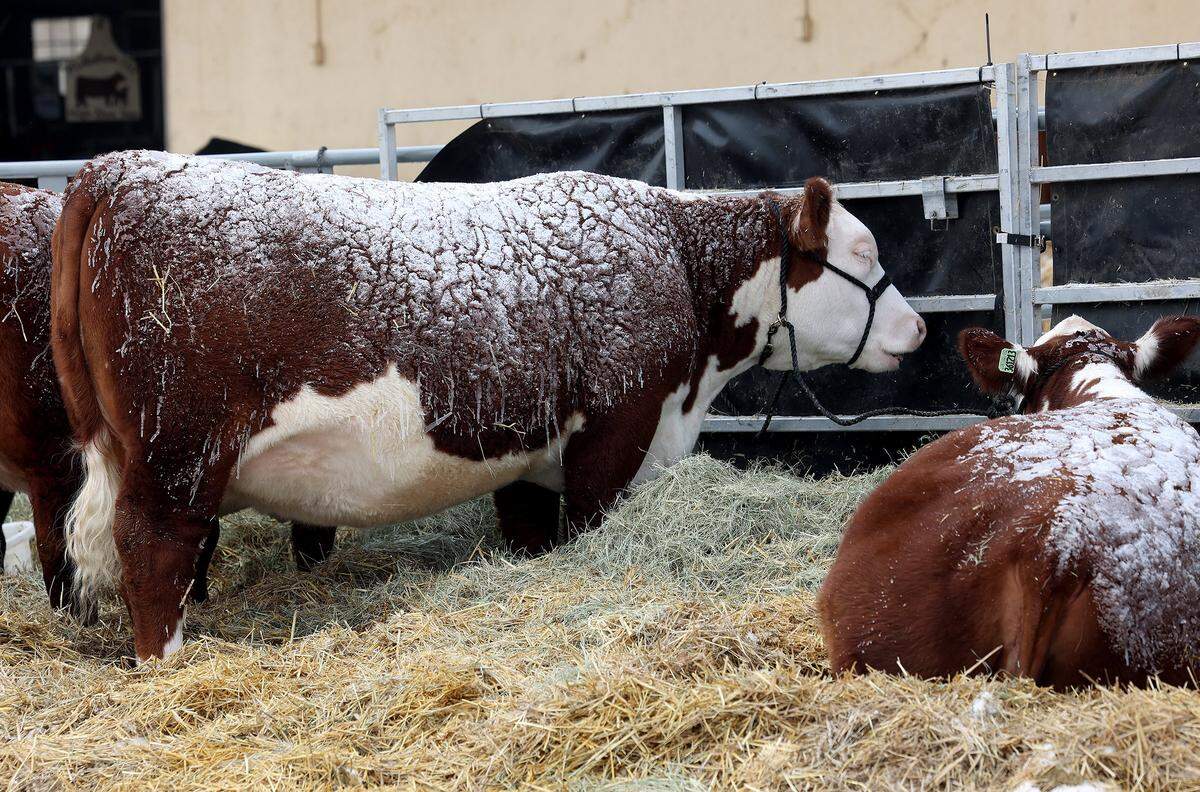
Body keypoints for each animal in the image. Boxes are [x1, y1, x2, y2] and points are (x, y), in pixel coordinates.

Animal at [51, 151, 926, 660]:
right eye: (864, 252)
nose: (917, 327)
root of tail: (121, 167)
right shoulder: (617, 426)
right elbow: (589, 522)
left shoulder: (532, 452)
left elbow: (531, 531)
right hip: (176, 450)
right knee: (154, 550)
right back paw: (164, 660)